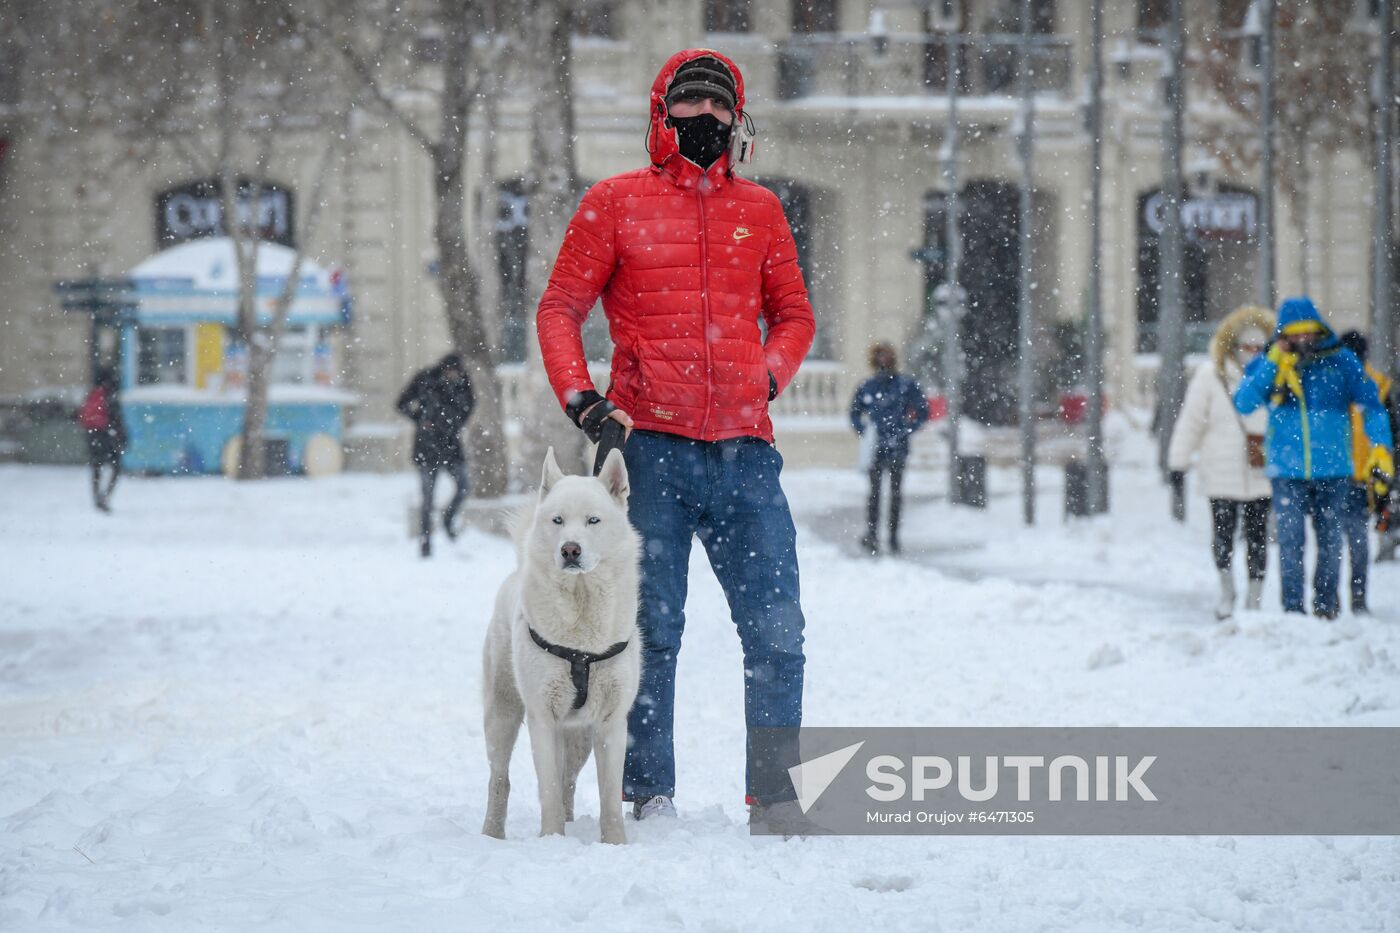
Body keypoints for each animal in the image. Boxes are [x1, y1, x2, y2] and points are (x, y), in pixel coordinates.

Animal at [478, 445, 638, 840]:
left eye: (593, 521)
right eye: (558, 520)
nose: (570, 550)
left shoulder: (611, 722)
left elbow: (610, 798)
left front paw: (615, 845)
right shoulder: (542, 718)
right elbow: (547, 789)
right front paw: (551, 841)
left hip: (579, 736)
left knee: (569, 779)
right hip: (502, 713)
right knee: (500, 778)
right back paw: (492, 833)